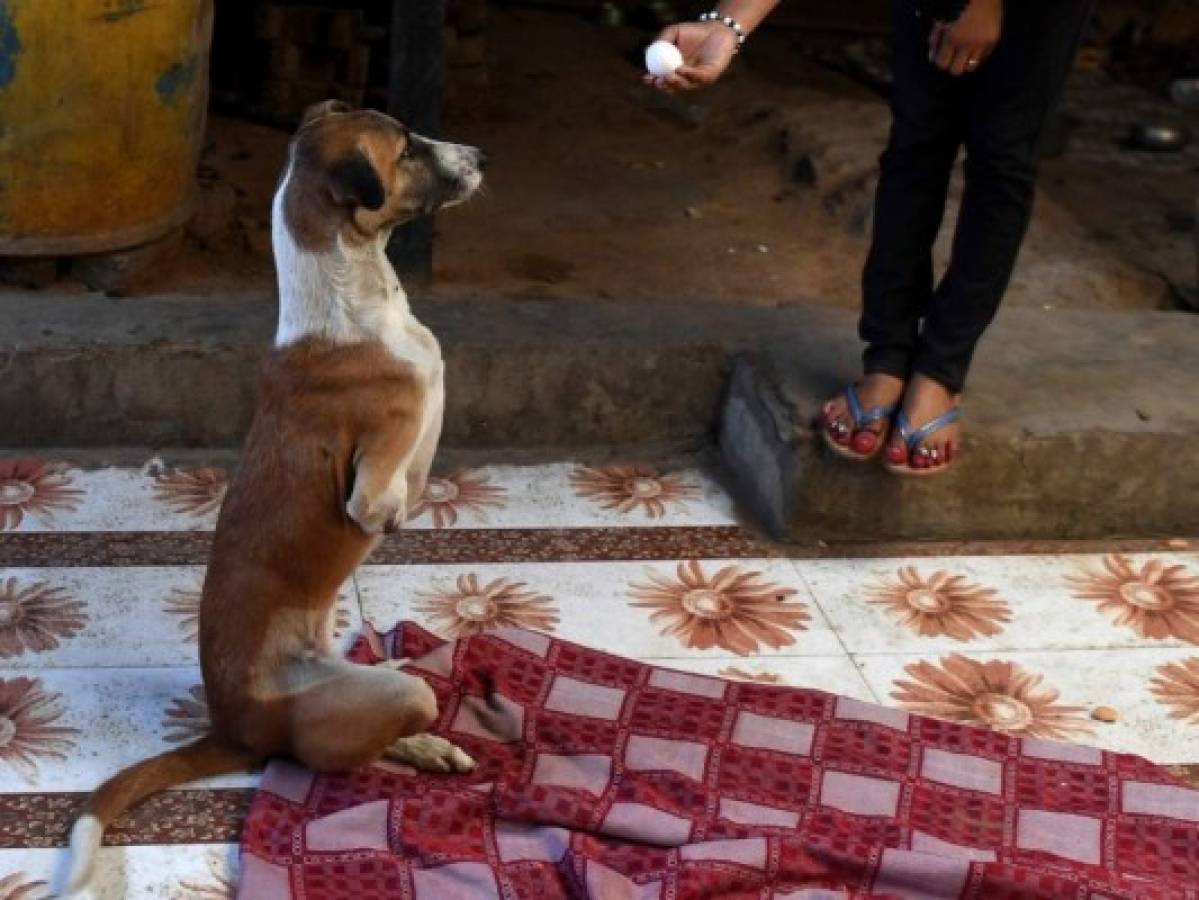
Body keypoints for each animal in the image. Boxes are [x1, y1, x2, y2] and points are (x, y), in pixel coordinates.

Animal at [64, 100, 486, 896]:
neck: (349, 298)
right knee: (334, 754)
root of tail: (235, 730)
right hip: (371, 702)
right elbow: (392, 479)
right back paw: (413, 750)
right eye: (407, 149)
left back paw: (424, 744)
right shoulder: (377, 489)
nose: (480, 155)